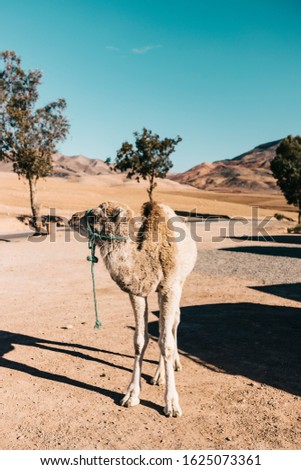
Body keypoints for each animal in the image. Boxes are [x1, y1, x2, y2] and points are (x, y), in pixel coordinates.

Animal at [68, 200, 197, 416]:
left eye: (94, 216)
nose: (72, 218)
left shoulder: (169, 287)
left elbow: (166, 343)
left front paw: (171, 404)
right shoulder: (137, 292)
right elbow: (139, 341)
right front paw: (131, 395)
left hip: (181, 281)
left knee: (173, 323)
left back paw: (174, 365)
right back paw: (159, 376)